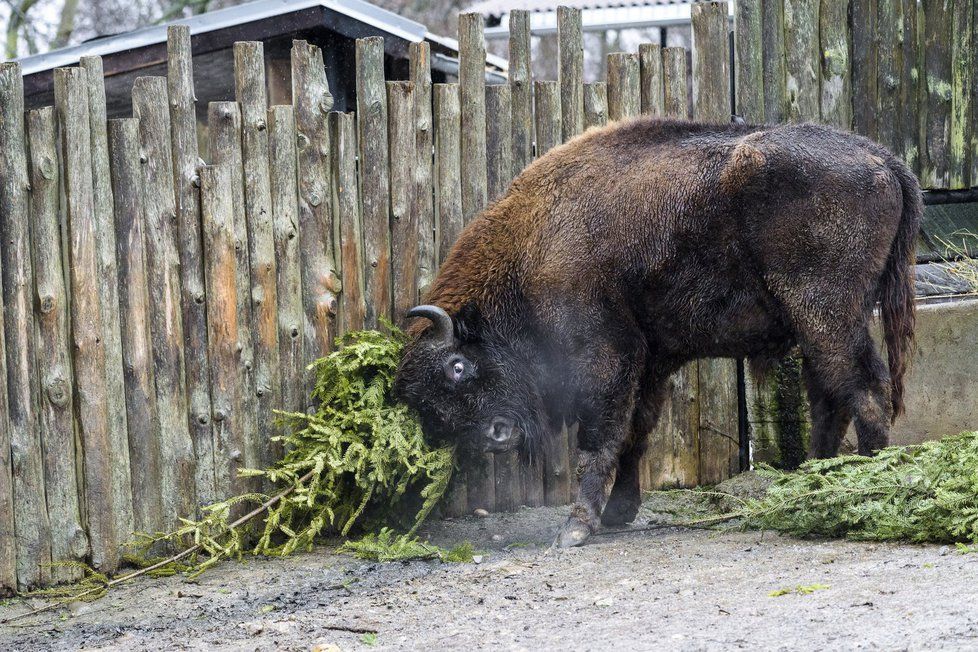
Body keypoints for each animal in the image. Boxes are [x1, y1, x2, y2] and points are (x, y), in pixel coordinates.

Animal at [392, 117, 920, 544]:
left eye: (457, 366)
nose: (494, 435)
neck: (530, 248)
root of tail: (883, 160)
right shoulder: (652, 362)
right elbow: (636, 432)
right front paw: (618, 514)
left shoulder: (606, 355)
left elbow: (601, 436)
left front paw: (576, 528)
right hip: (820, 326)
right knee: (833, 395)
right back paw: (813, 480)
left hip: (827, 315)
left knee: (864, 389)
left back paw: (862, 487)